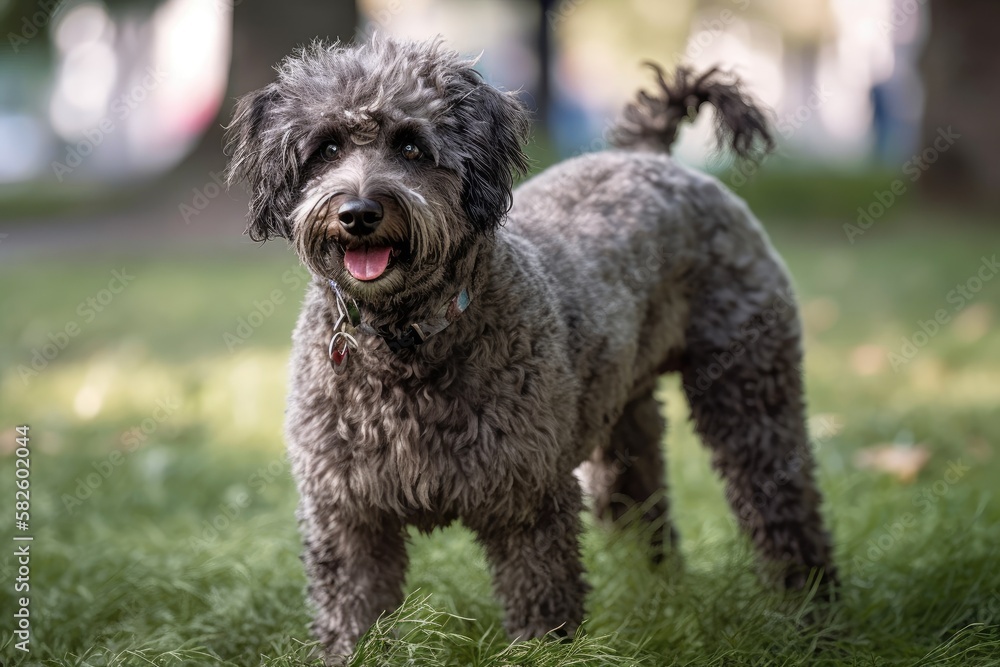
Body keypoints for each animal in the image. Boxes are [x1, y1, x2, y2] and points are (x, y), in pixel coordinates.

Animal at [225, 34, 836, 660]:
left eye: (412, 146)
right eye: (327, 147)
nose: (358, 213)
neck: (406, 345)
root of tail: (654, 158)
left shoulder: (528, 508)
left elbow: (542, 607)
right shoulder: (349, 520)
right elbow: (355, 620)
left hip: (751, 395)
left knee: (786, 507)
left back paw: (809, 612)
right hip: (623, 427)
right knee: (646, 511)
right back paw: (662, 597)